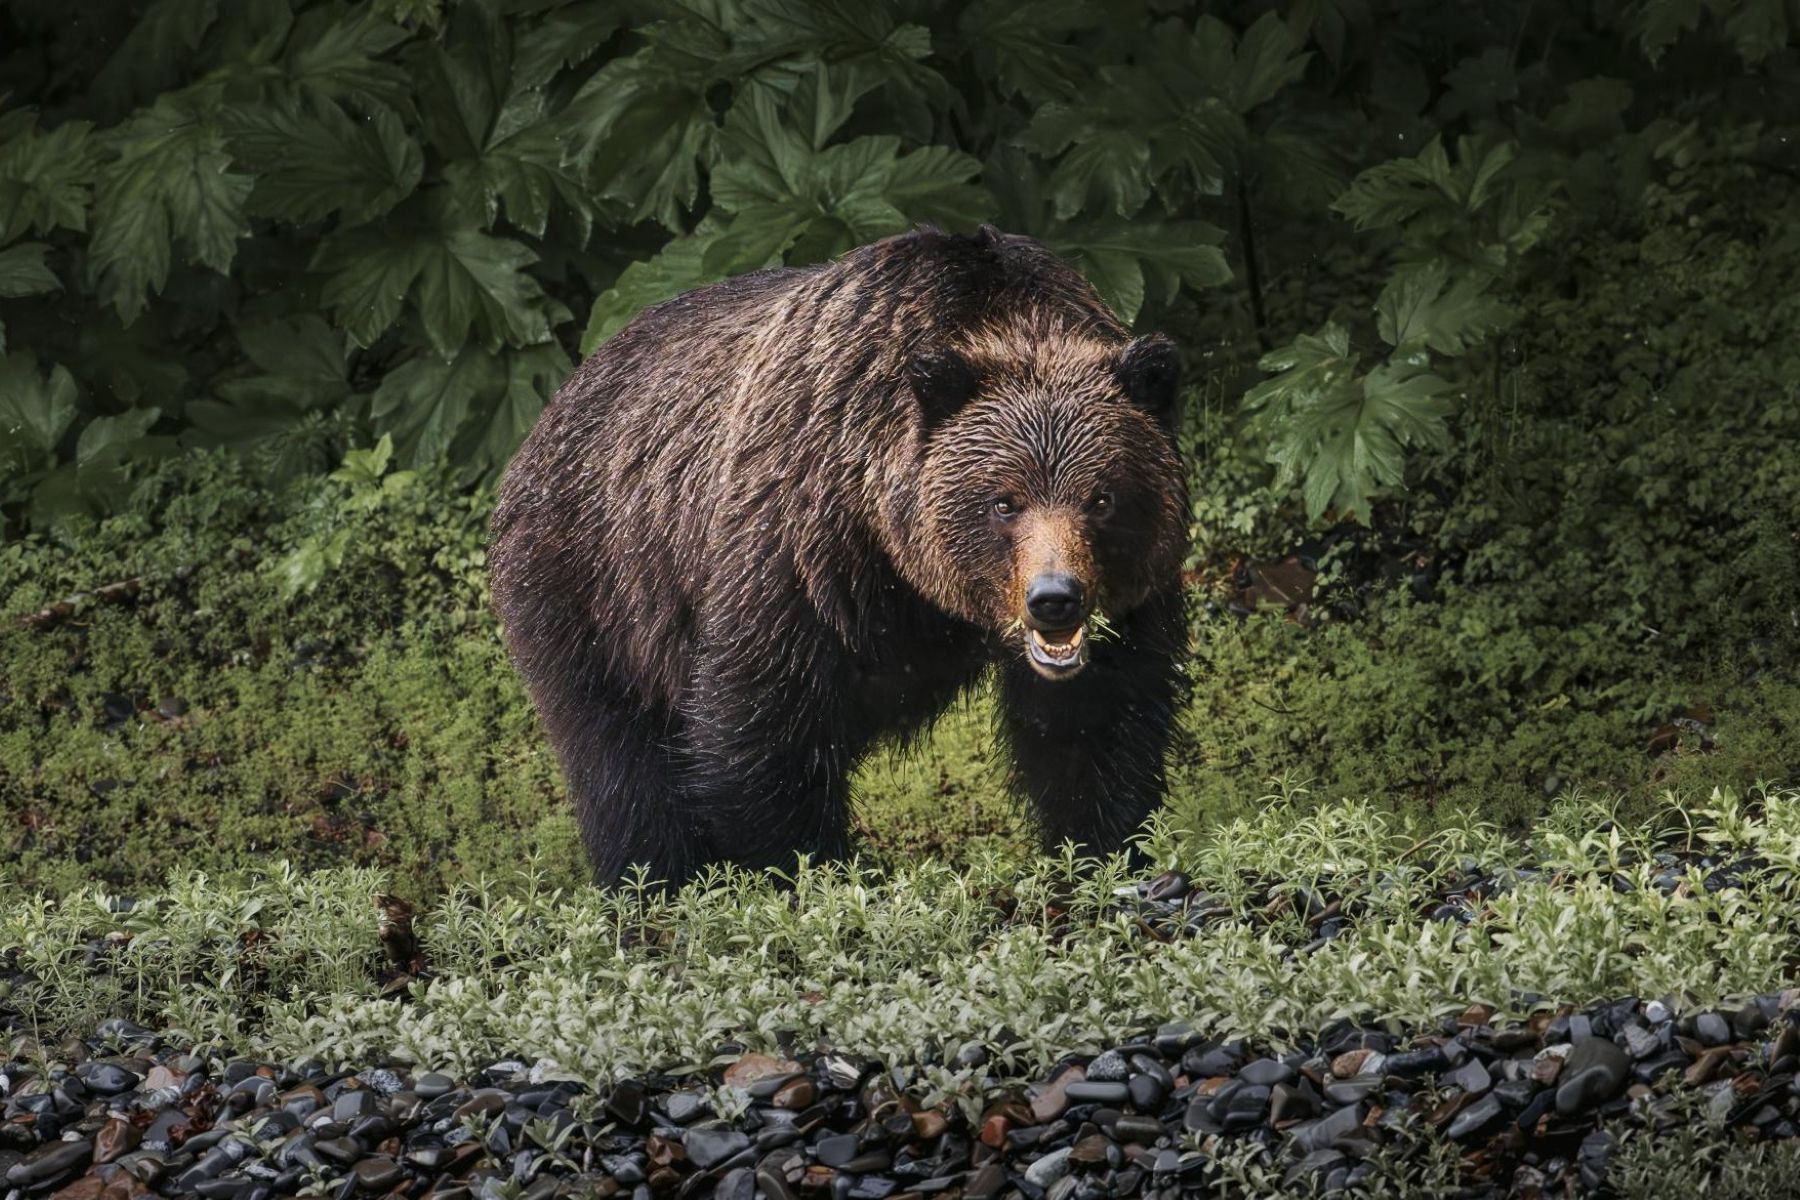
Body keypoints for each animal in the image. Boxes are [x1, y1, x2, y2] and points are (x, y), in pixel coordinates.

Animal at [490, 225, 1190, 888]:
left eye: (1101, 498)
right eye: (1003, 502)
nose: (1054, 599)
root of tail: (556, 406)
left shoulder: (1130, 602)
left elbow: (1097, 725)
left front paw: (1106, 855)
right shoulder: (802, 547)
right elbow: (762, 726)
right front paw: (804, 869)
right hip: (595, 586)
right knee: (621, 762)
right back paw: (652, 881)